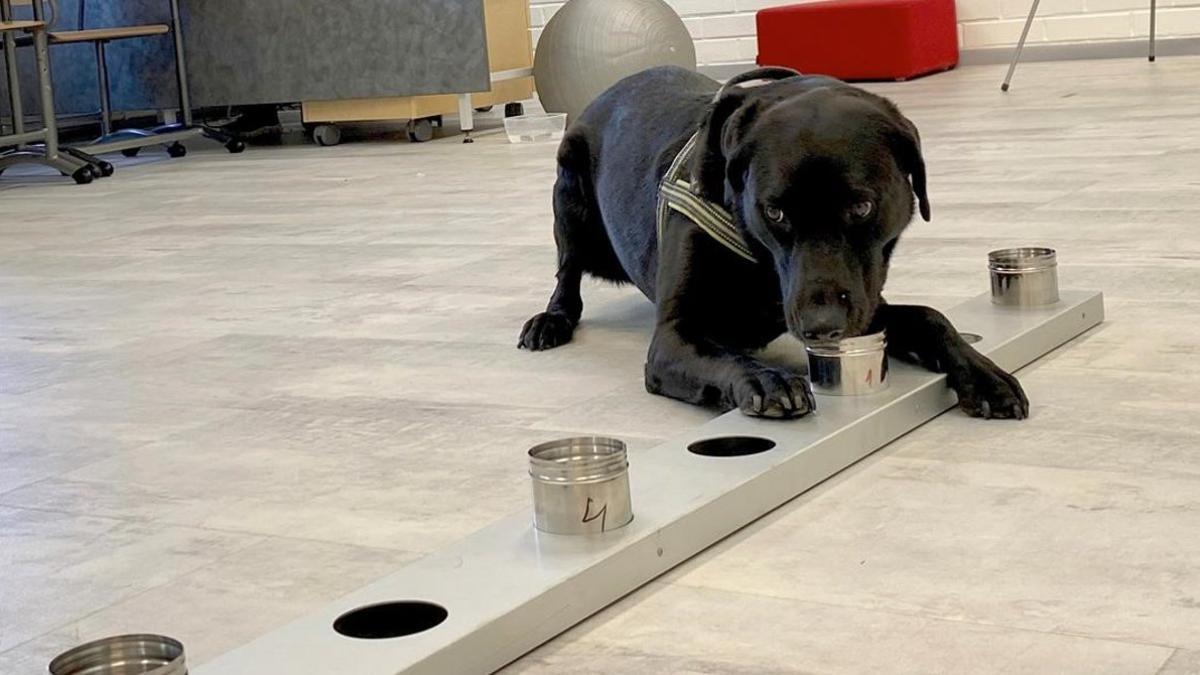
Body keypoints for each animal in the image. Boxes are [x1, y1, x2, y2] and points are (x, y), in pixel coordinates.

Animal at [520, 65, 1027, 417]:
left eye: (862, 207)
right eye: (775, 212)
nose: (823, 327)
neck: (760, 261)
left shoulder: (862, 303)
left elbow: (929, 317)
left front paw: (985, 375)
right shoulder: (673, 339)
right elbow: (719, 353)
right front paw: (766, 380)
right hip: (569, 198)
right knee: (567, 273)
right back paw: (550, 321)